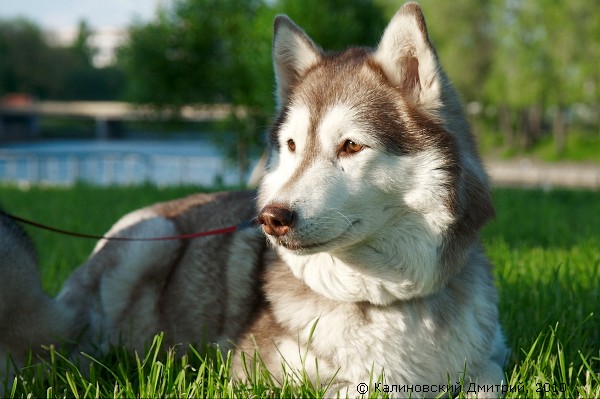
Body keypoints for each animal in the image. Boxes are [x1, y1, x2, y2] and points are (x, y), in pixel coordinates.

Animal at [1, 2, 506, 396]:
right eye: (292, 146)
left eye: (351, 146)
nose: (270, 217)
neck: (386, 298)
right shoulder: (253, 374)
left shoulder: (490, 362)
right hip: (148, 237)